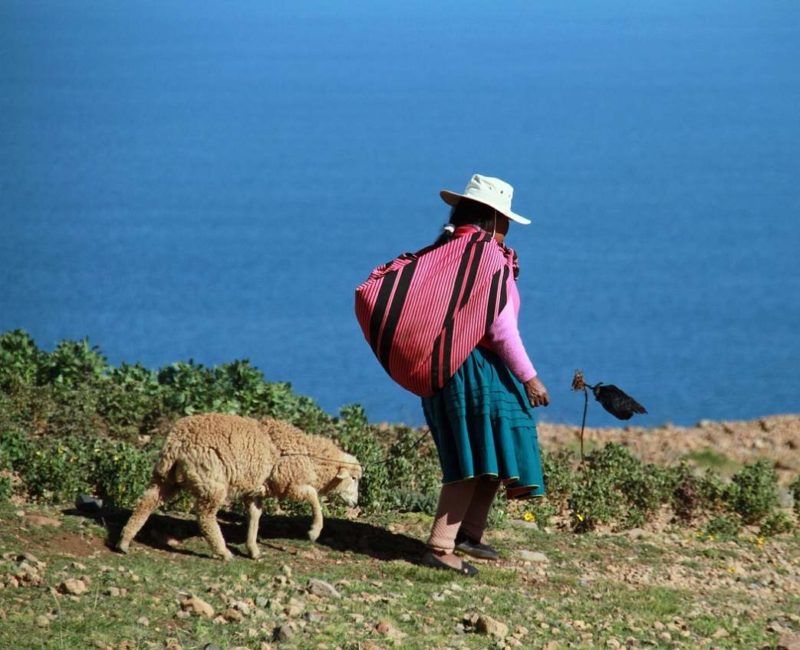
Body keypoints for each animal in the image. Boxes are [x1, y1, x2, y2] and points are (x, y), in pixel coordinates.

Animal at [115, 412, 360, 560]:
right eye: (355, 479)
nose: (356, 502)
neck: (310, 456)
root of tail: (177, 441)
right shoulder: (290, 483)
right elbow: (314, 497)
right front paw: (314, 531)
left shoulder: (255, 491)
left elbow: (255, 517)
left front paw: (253, 549)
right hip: (212, 482)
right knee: (204, 516)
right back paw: (222, 551)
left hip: (166, 478)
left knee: (147, 501)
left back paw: (124, 541)